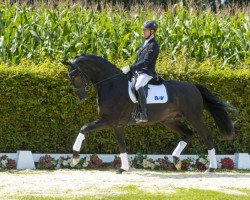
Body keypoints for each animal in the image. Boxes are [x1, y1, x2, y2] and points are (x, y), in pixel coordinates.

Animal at [61, 53, 235, 173]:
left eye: (74, 75)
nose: (80, 97)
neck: (111, 84)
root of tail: (193, 86)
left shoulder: (109, 120)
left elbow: (84, 127)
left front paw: (75, 157)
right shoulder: (116, 124)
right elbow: (122, 145)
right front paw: (124, 168)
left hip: (193, 117)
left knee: (206, 136)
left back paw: (211, 168)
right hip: (169, 120)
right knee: (188, 133)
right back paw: (176, 160)